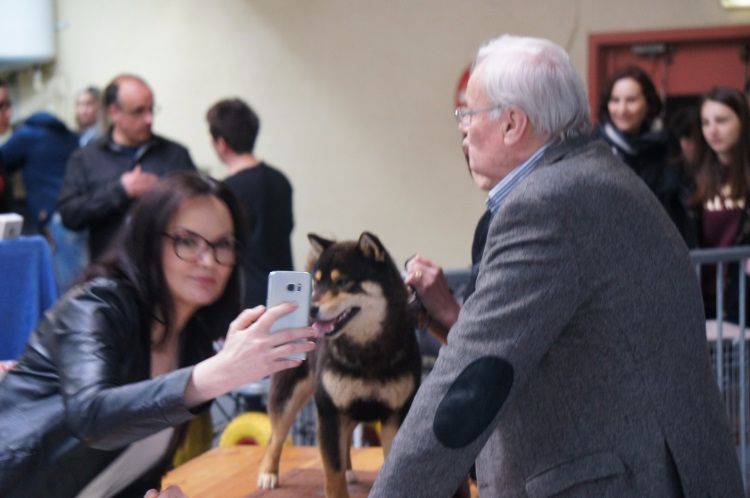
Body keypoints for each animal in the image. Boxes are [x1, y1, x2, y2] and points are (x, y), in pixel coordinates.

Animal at [258, 232, 424, 498]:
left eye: (343, 281)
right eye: (316, 283)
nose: (310, 309)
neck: (367, 353)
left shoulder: (395, 414)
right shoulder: (330, 412)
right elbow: (332, 473)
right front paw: (338, 481)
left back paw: (348, 470)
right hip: (290, 397)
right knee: (276, 436)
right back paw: (268, 473)